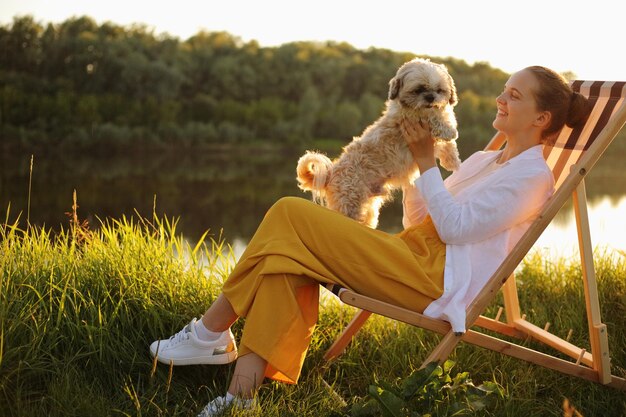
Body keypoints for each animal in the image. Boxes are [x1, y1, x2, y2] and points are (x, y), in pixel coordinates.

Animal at [294, 57, 460, 228]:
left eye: (439, 90)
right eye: (418, 89)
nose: (431, 97)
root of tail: (331, 173)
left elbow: (446, 144)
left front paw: (452, 161)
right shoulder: (412, 116)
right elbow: (434, 117)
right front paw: (449, 130)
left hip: (367, 207)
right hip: (350, 202)